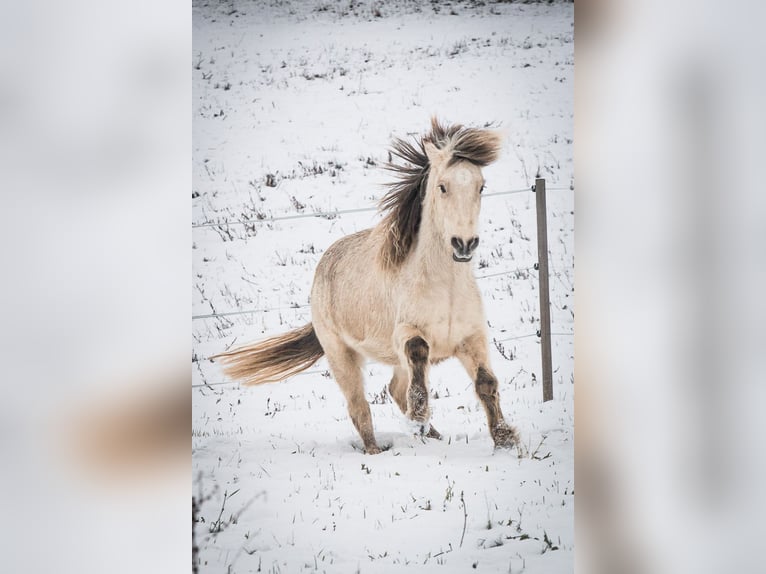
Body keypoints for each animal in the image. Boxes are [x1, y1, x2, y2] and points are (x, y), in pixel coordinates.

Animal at [213, 118, 519, 454]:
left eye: (481, 186)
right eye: (442, 186)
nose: (464, 244)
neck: (445, 287)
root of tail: (322, 267)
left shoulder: (471, 339)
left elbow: (486, 384)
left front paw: (505, 439)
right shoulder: (406, 334)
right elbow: (419, 350)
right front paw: (418, 416)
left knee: (395, 389)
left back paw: (433, 436)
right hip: (341, 356)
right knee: (359, 407)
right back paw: (377, 449)